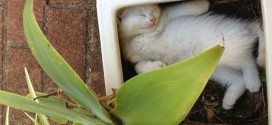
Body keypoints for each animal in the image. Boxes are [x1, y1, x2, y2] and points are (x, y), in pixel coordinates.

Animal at [117, 0, 264, 109]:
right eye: (141, 14)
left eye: (153, 11)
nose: (152, 19)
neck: (140, 36)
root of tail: (244, 29)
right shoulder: (136, 57)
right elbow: (138, 67)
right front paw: (156, 66)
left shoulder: (168, 16)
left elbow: (187, 8)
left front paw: (203, 3)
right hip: (216, 65)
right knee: (239, 78)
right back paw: (229, 100)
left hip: (229, 51)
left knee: (249, 61)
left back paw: (253, 81)